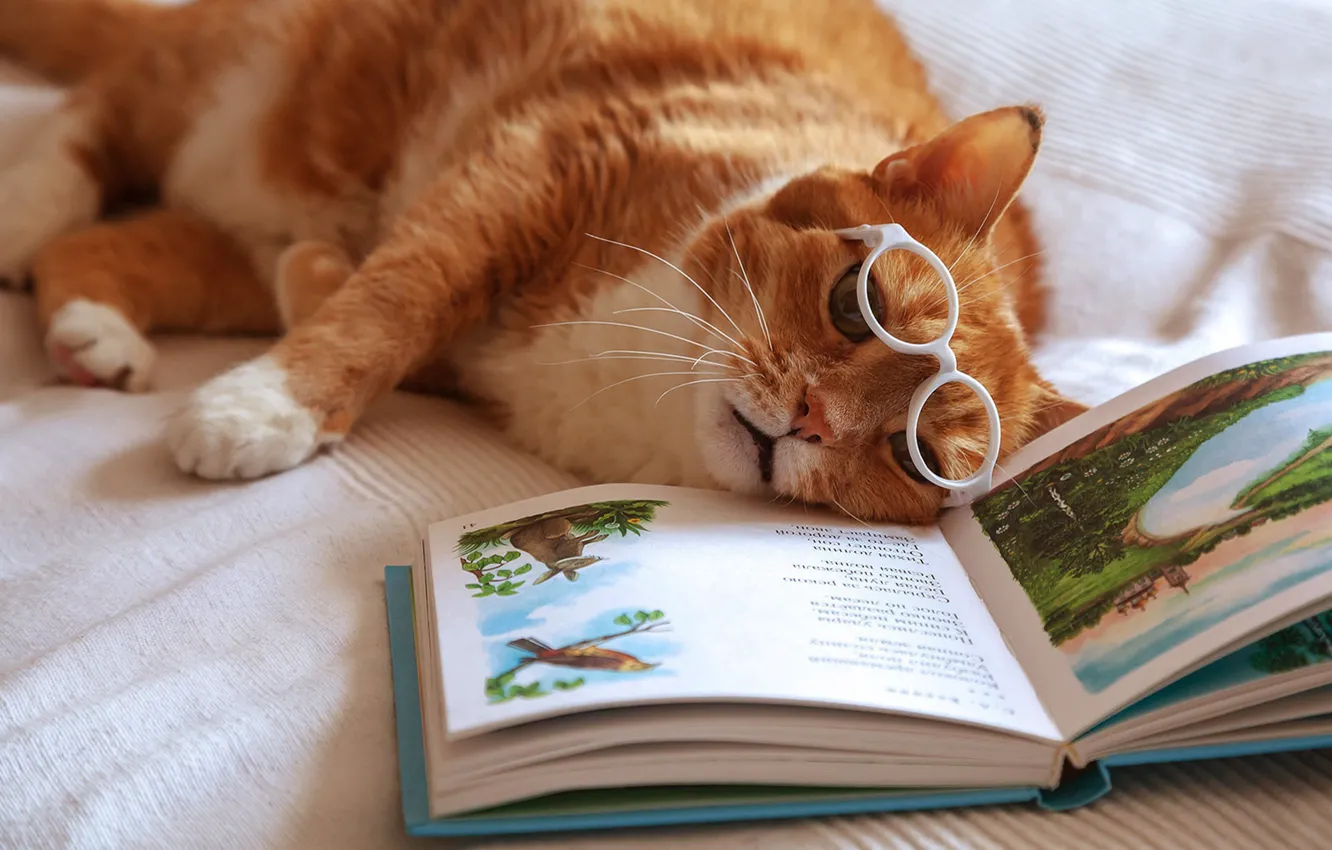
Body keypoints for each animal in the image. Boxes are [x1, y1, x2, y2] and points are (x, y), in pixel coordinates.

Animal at [0, 0, 1081, 527]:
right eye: (858, 310)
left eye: (914, 452)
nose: (813, 420)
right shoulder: (536, 163)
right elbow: (396, 298)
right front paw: (268, 406)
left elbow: (359, 294)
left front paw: (305, 300)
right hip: (239, 94)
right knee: (89, 123)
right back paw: (22, 213)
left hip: (235, 214)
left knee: (118, 237)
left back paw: (96, 333)